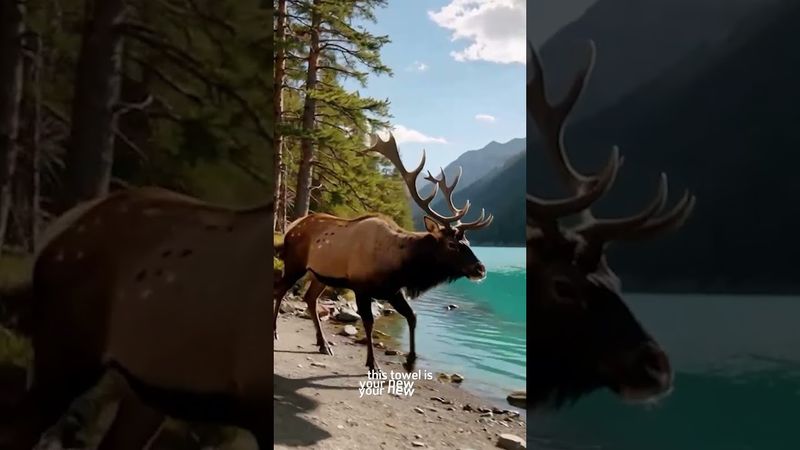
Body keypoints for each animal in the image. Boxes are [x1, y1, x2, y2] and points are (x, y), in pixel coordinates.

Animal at [273, 133, 494, 373]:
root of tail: (290, 228)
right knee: (279, 290)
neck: (400, 267)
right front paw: (373, 363)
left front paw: (410, 360)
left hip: (319, 275)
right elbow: (369, 322)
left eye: (468, 241)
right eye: (452, 244)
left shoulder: (393, 290)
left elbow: (412, 316)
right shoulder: (361, 287)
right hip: (294, 264)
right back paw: (276, 332)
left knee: (309, 298)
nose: (480, 269)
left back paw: (323, 344)